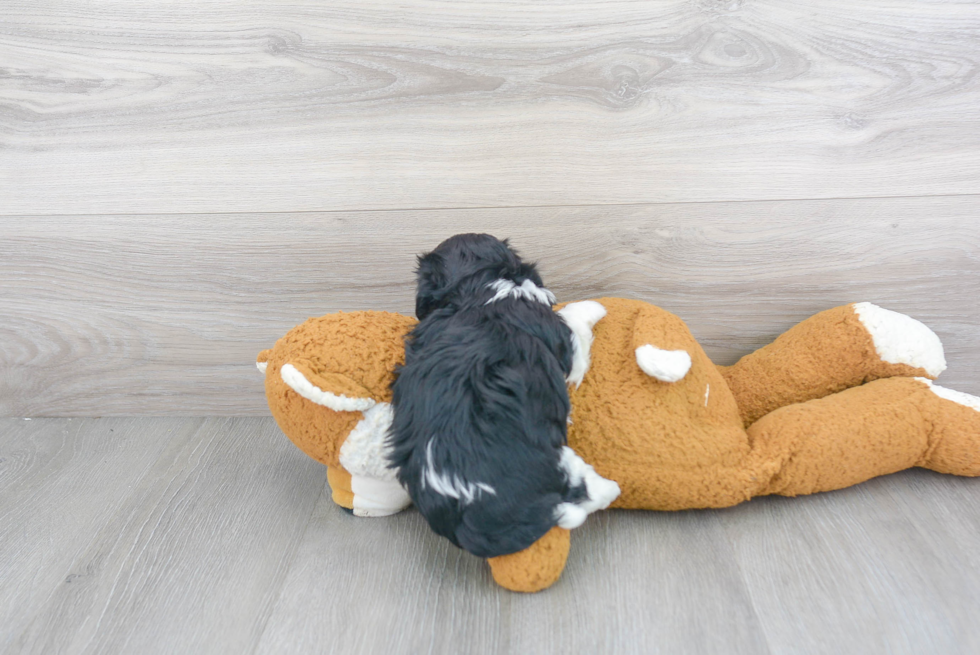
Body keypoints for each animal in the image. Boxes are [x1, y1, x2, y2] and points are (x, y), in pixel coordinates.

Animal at [386, 233, 616, 556]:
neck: (474, 291)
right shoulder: (565, 343)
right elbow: (574, 322)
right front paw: (595, 307)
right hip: (559, 462)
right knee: (582, 495)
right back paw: (611, 488)